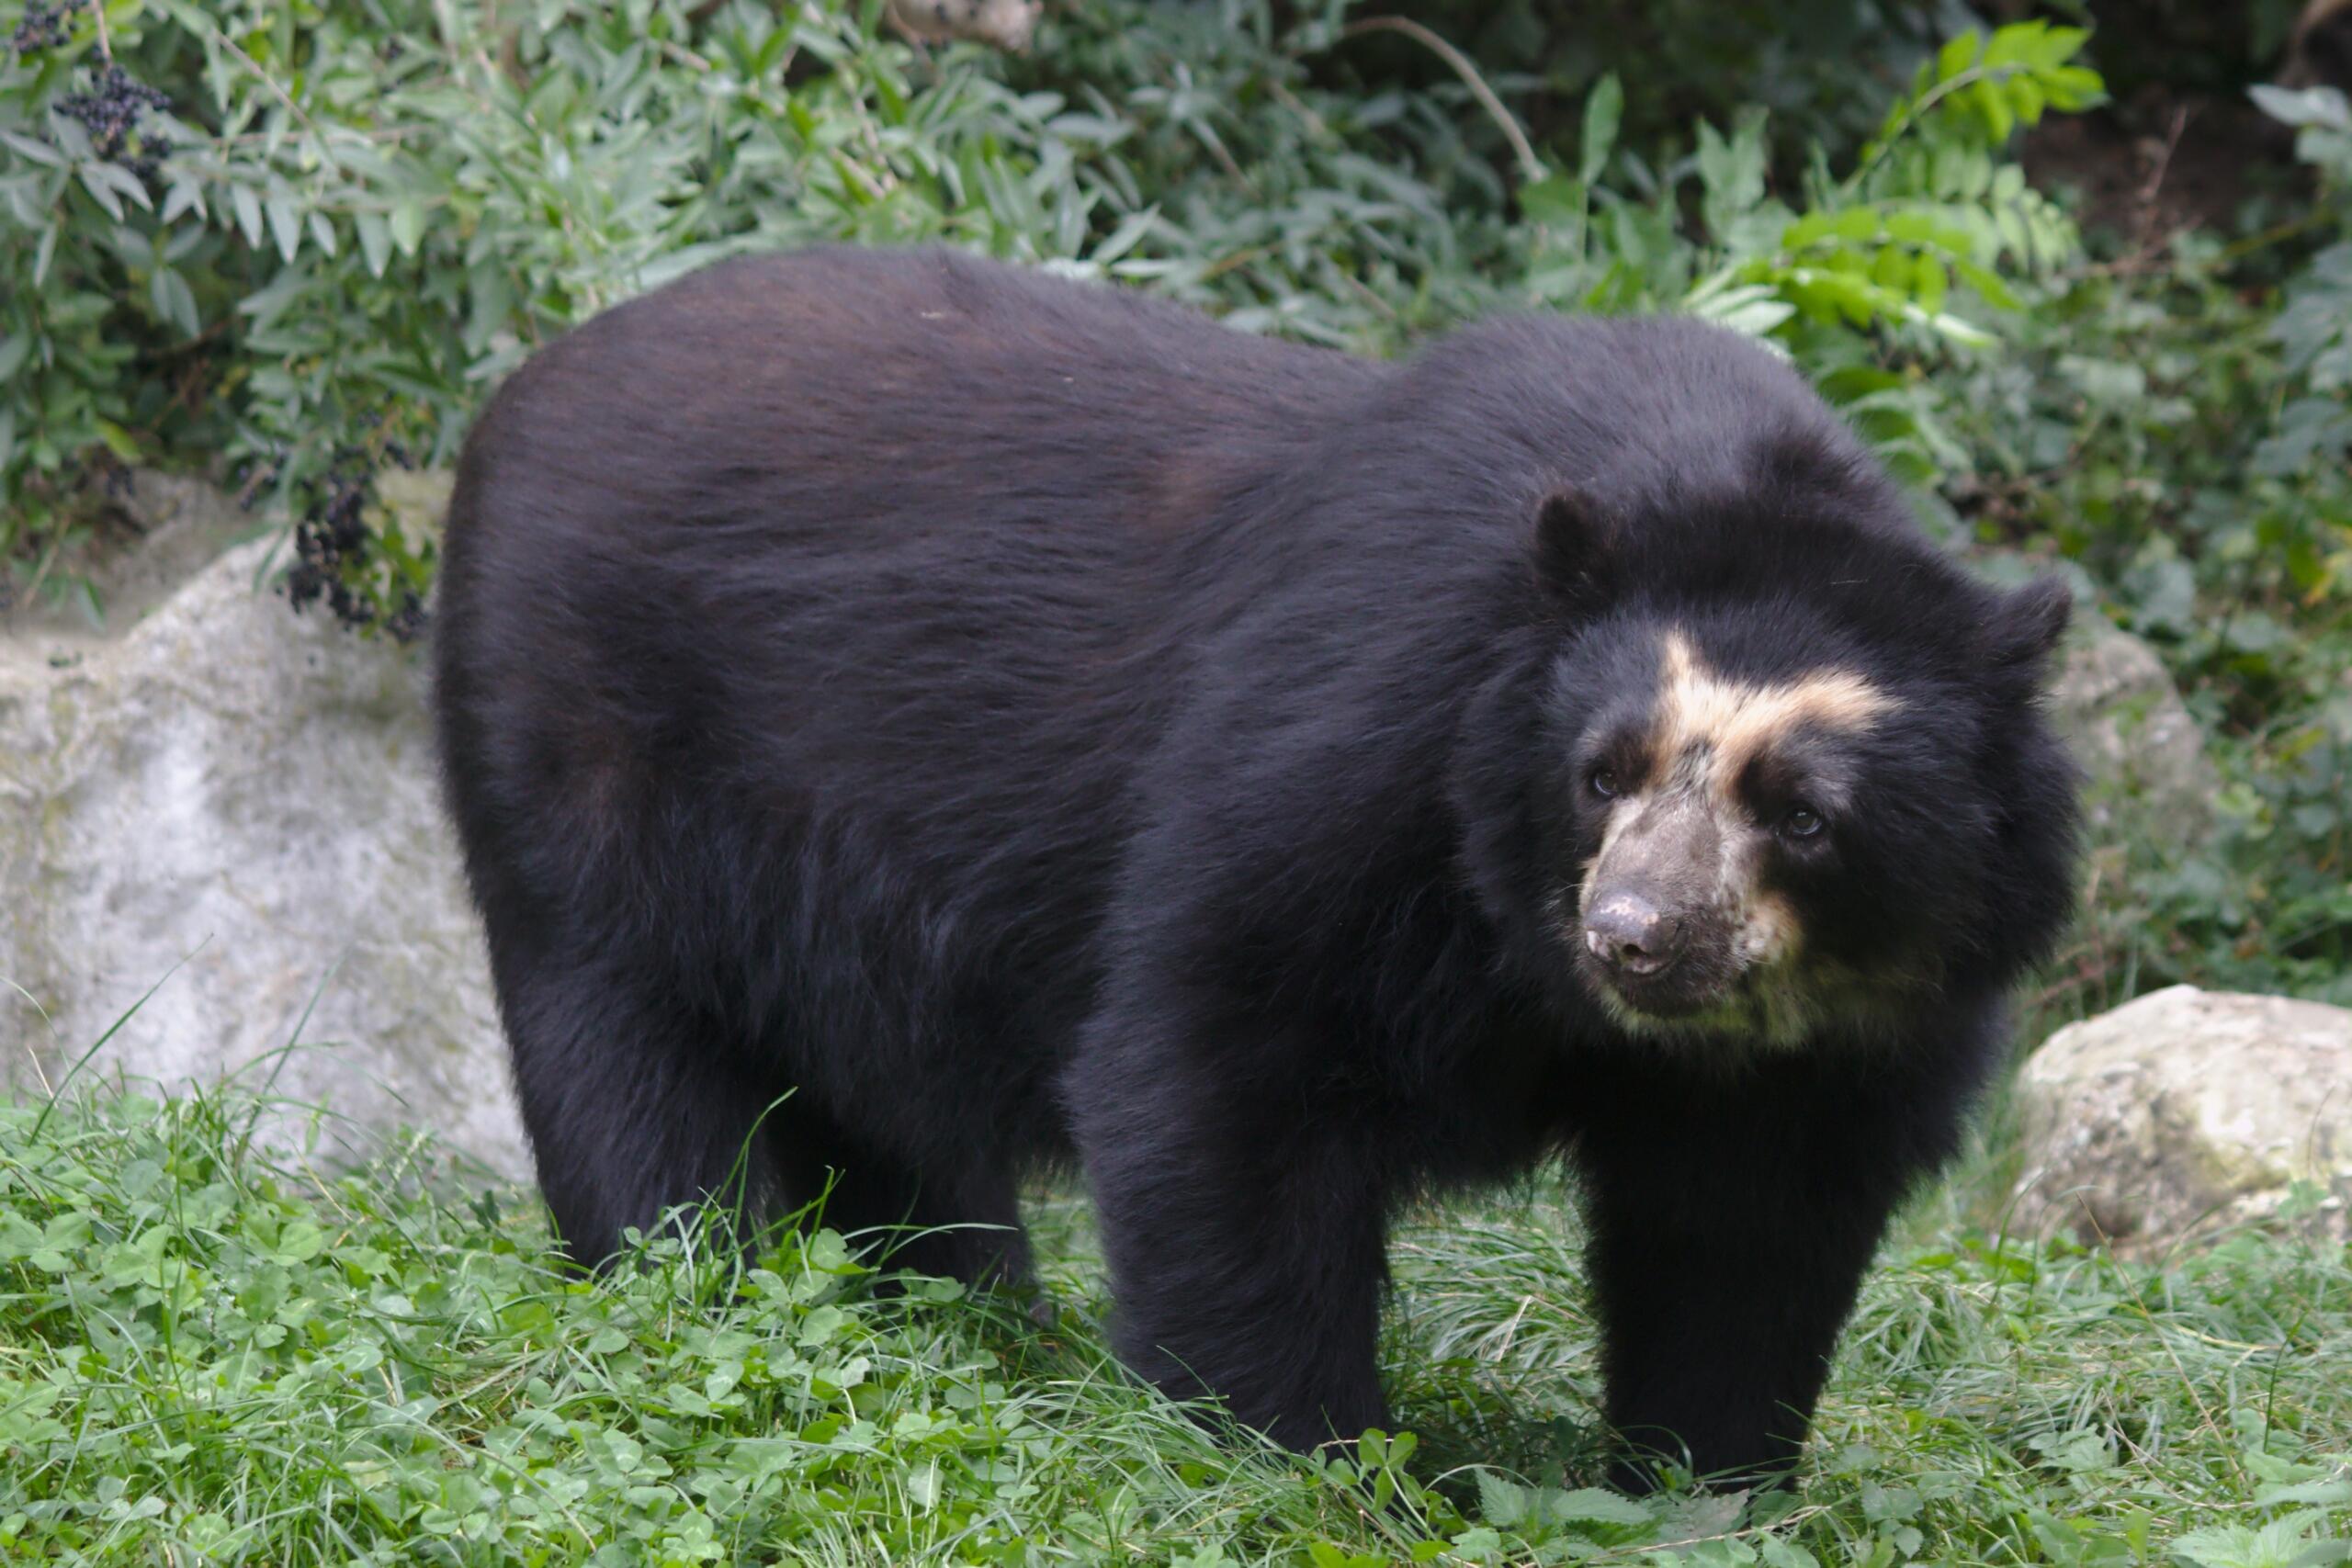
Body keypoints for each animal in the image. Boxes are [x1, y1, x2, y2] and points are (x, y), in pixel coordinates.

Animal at [431, 245, 2079, 1491]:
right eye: (1601, 770)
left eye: (1801, 813)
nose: (1634, 933)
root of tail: (520, 386)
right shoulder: (1360, 743)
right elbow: (1221, 1059)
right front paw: (1302, 1461)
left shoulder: (1850, 1024)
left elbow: (1750, 1226)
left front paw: (1708, 1483)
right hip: (588, 753)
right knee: (635, 1059)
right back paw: (701, 1284)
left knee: (885, 1097)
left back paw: (974, 1308)